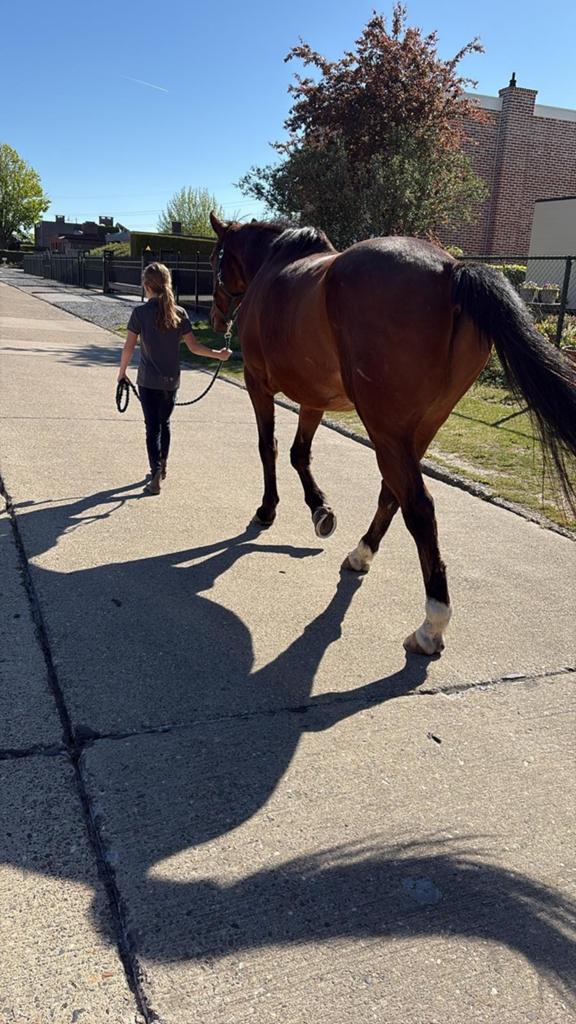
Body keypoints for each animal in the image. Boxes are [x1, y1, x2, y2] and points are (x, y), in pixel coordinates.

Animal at [209, 213, 576, 656]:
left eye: (216, 258)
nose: (215, 317)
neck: (273, 266)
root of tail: (451, 271)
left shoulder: (257, 384)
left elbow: (270, 447)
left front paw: (268, 510)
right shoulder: (314, 397)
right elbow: (300, 453)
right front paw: (320, 511)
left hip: (386, 428)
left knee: (418, 505)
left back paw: (431, 624)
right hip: (418, 429)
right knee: (393, 492)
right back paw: (361, 553)